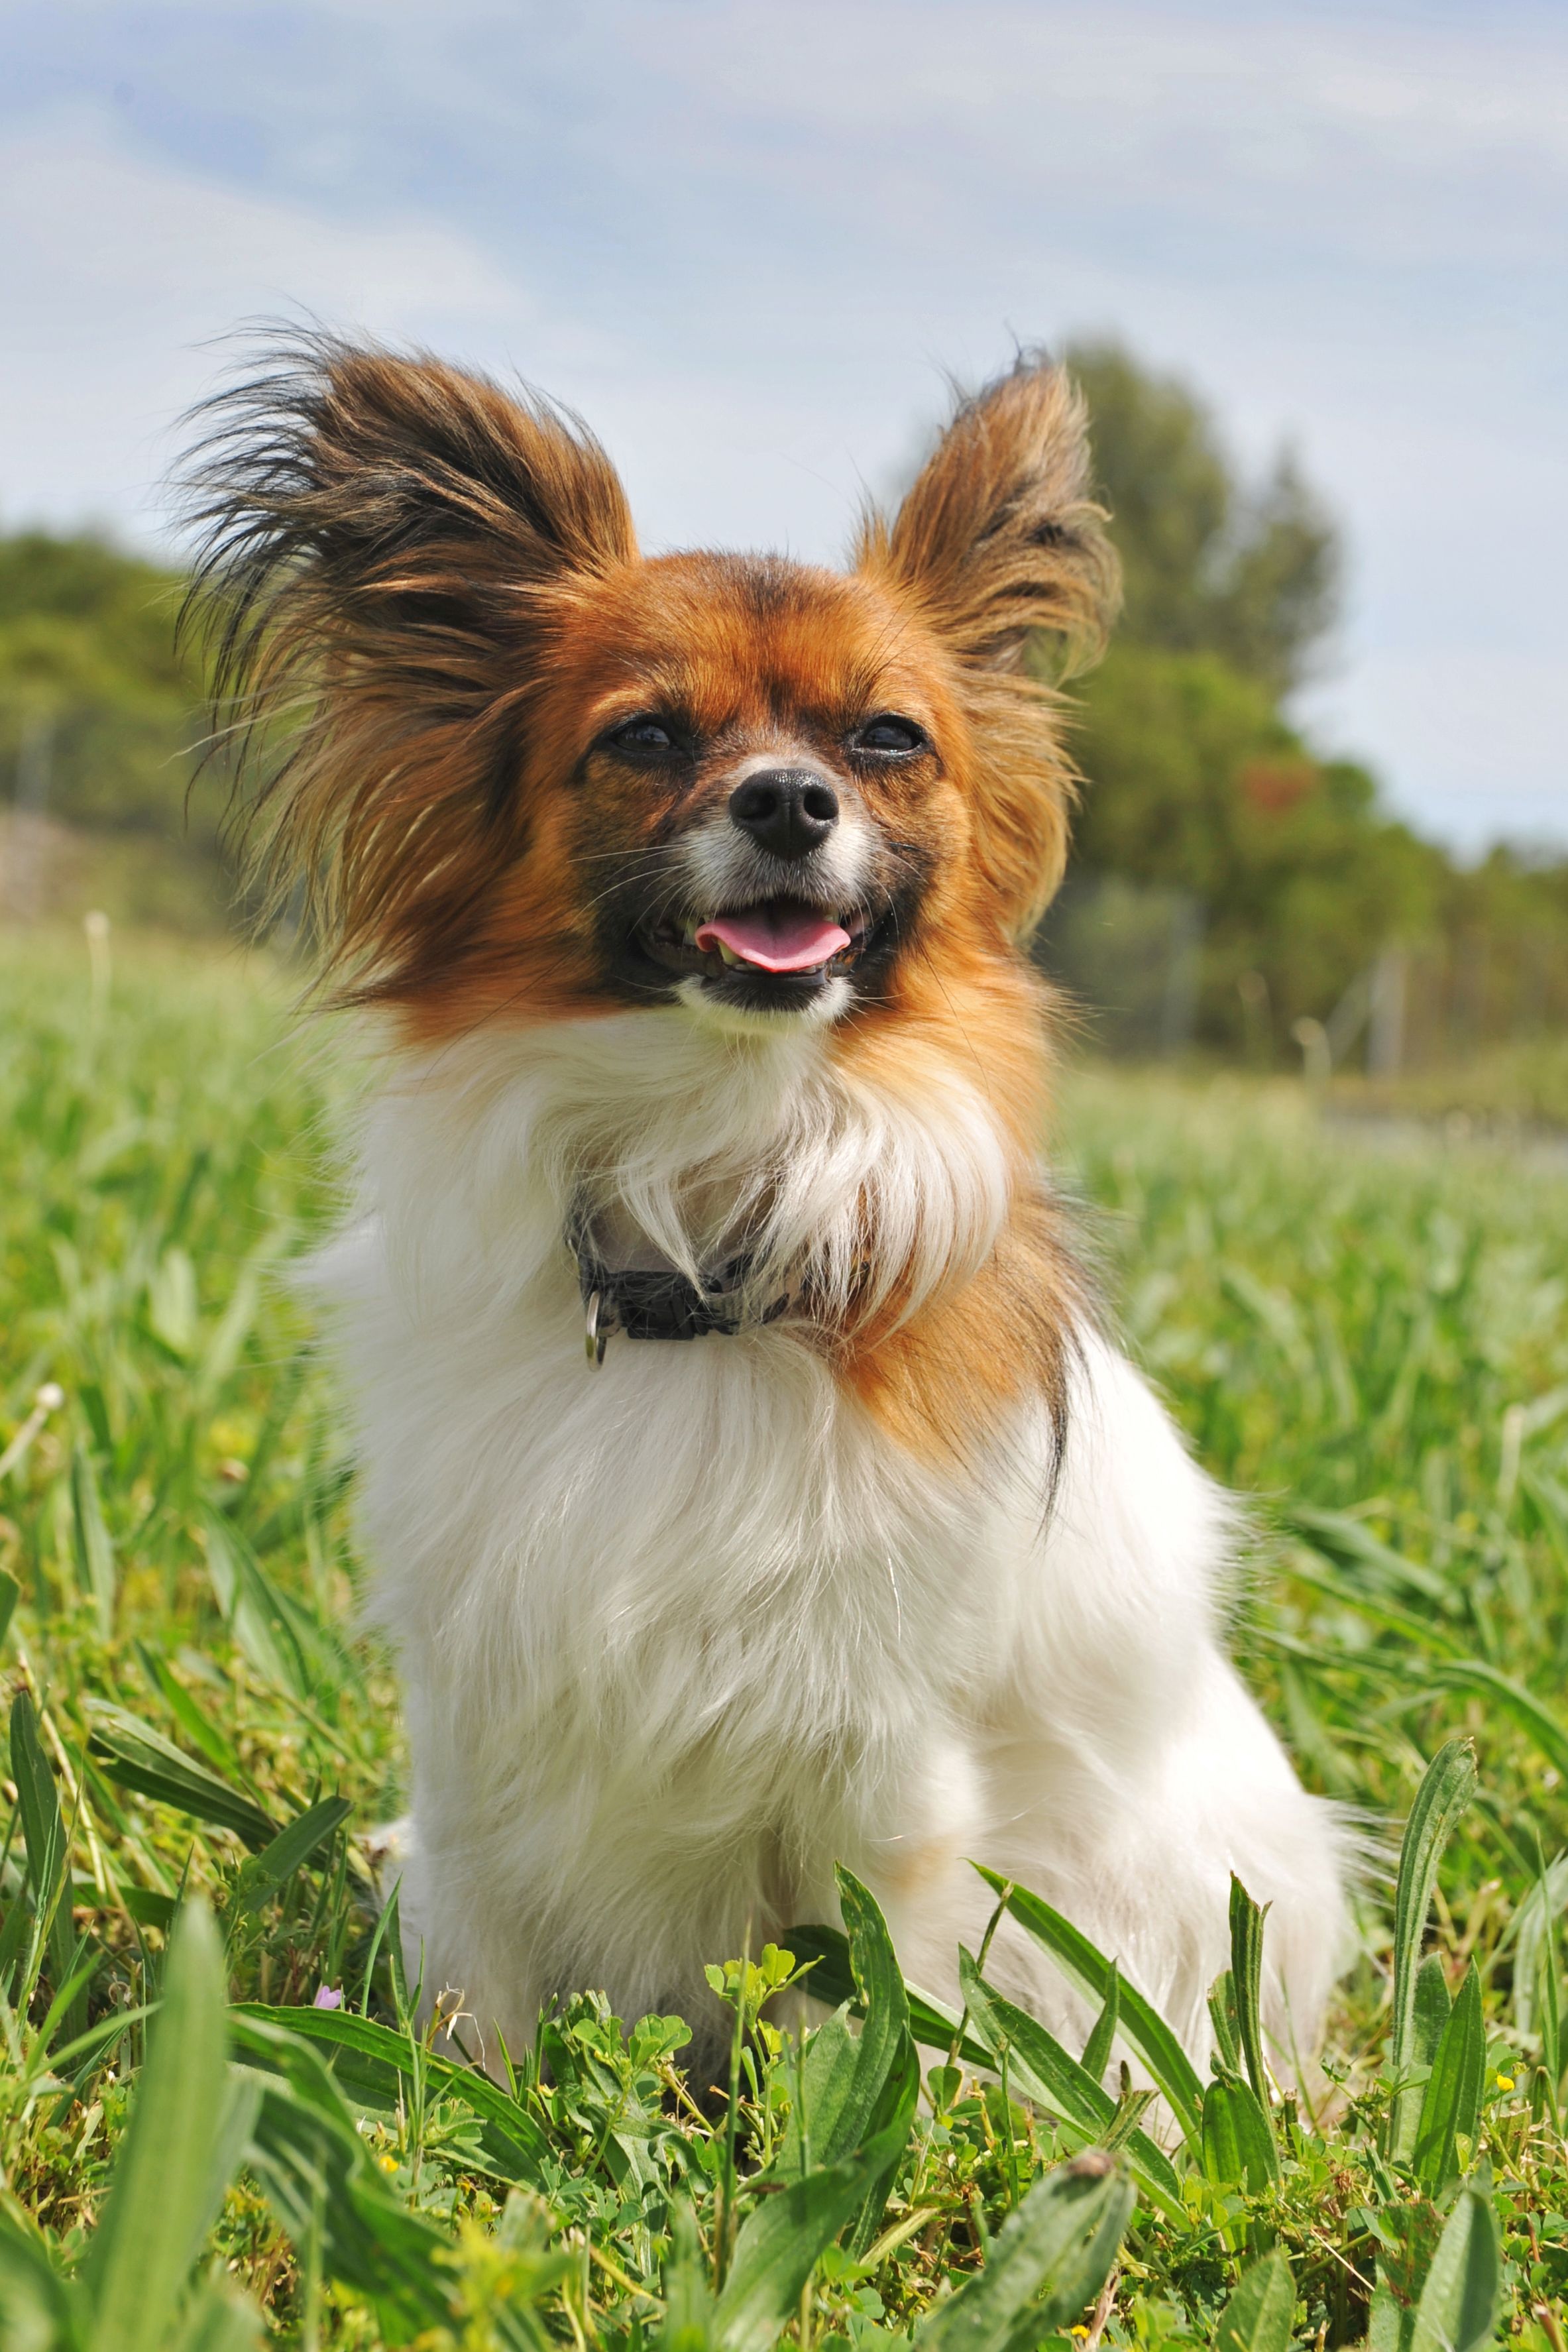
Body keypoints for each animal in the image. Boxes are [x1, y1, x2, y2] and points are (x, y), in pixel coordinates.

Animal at [184, 343, 1345, 2079]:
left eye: (886, 739)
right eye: (649, 738)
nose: (791, 802)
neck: (707, 1204)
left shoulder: (890, 1771)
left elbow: (871, 2013)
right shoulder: (478, 1706)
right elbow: (479, 1975)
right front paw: (459, 2107)